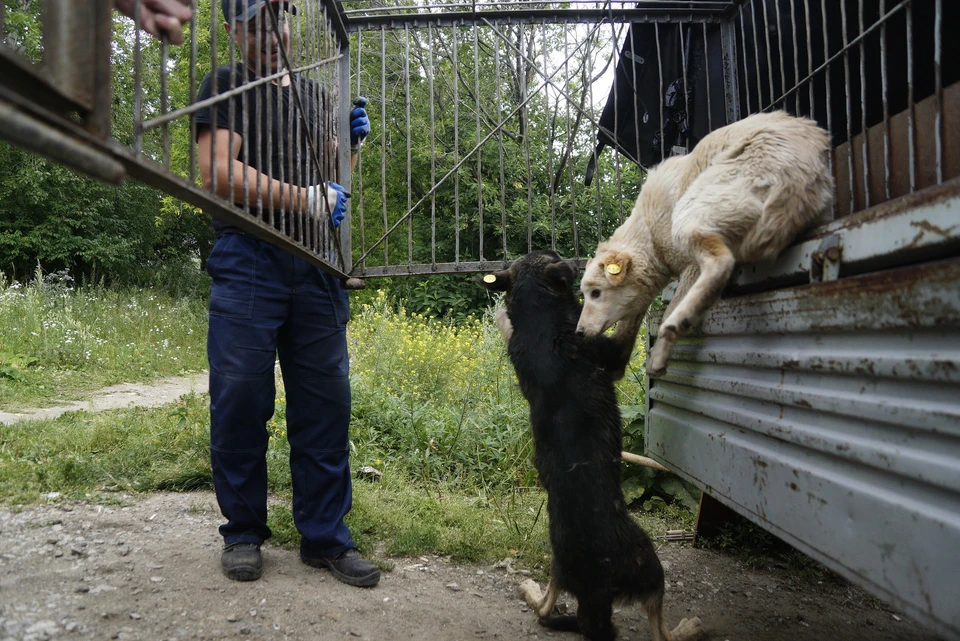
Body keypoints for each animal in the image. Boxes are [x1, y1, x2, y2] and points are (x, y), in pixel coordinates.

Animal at [484, 250, 700, 640]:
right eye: (555, 255)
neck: (541, 321)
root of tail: (593, 592)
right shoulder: (612, 356)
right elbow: (630, 320)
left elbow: (505, 324)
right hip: (650, 564)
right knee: (659, 628)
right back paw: (689, 627)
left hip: (558, 566)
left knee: (545, 608)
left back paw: (530, 590)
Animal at [576, 109, 832, 372]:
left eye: (596, 293)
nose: (578, 332)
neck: (648, 232)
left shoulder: (690, 267)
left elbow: (669, 308)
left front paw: (660, 351)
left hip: (689, 212)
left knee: (722, 262)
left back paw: (676, 325)